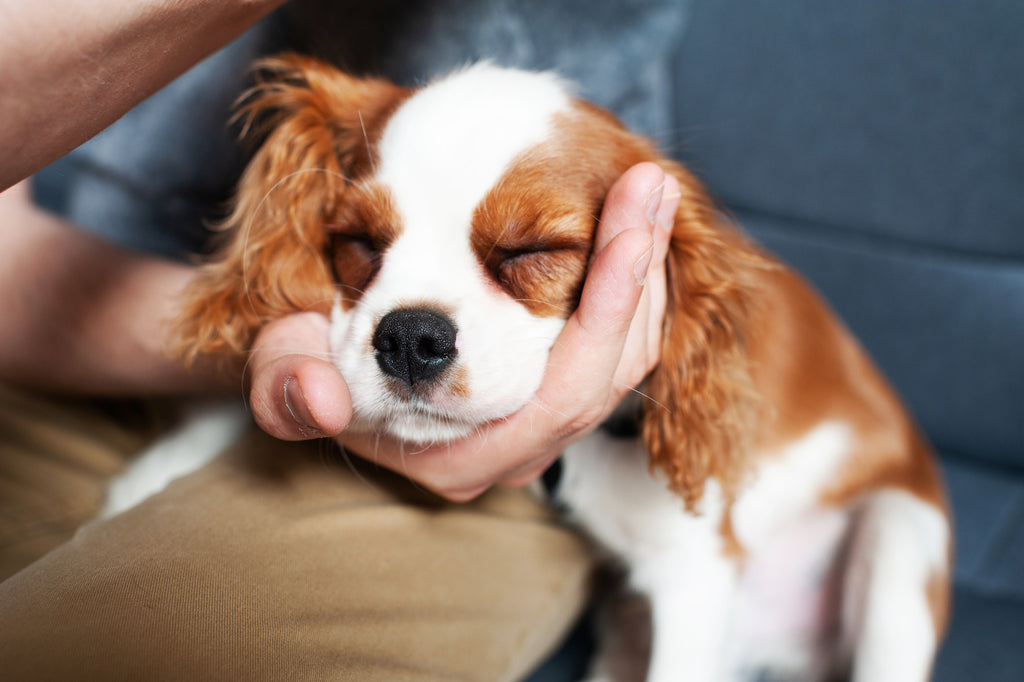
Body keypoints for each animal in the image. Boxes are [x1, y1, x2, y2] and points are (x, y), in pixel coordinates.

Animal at [108, 57, 946, 679]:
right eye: (358, 243)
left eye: (531, 251)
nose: (410, 336)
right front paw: (144, 481)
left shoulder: (696, 574)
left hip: (902, 545)